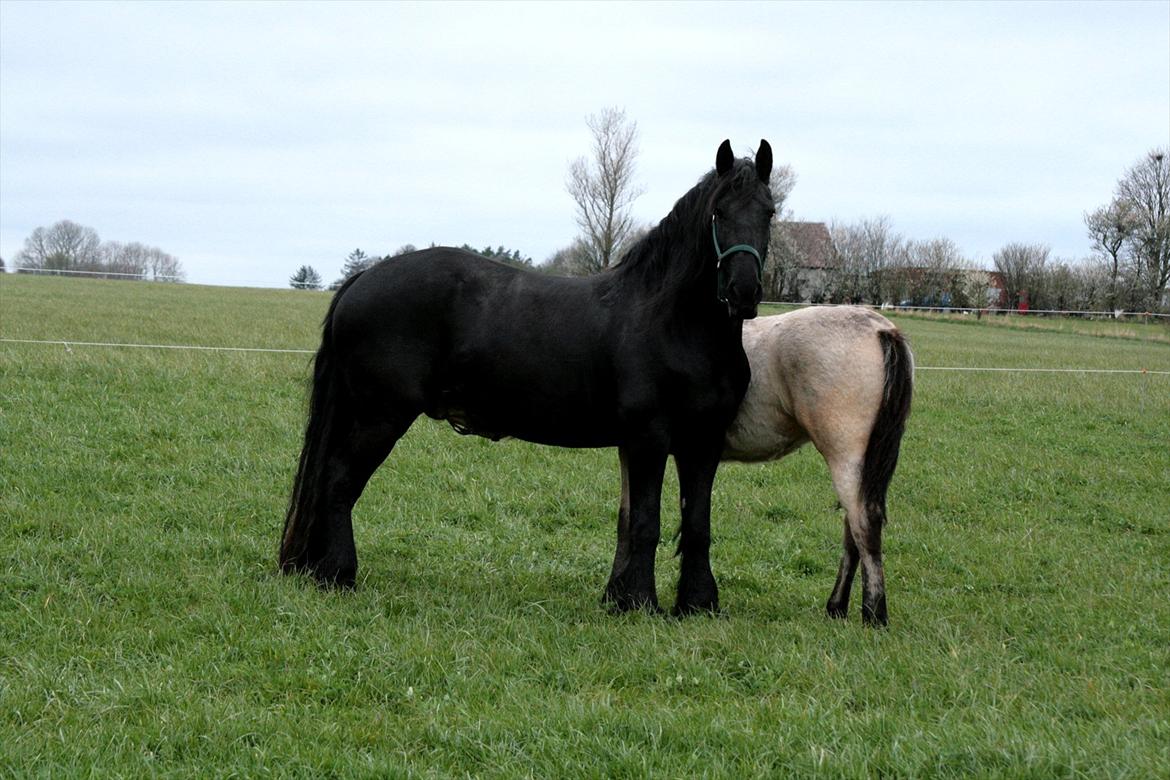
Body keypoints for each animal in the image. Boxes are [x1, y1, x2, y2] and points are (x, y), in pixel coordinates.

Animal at [280, 138, 776, 617]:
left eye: (769, 212)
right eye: (718, 212)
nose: (743, 291)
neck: (674, 324)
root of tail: (363, 279)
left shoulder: (703, 441)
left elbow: (696, 523)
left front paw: (696, 603)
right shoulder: (648, 437)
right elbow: (645, 521)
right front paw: (638, 601)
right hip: (379, 415)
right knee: (339, 481)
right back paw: (338, 574)